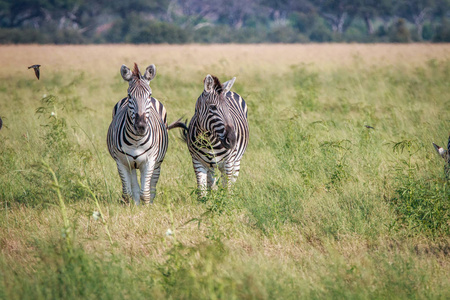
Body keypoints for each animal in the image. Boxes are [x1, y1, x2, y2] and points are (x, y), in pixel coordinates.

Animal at [107, 62, 169, 204]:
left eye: (149, 95)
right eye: (130, 96)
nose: (140, 127)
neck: (136, 140)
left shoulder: (149, 161)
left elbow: (145, 193)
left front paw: (147, 207)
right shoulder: (121, 162)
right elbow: (127, 193)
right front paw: (131, 206)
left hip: (158, 161)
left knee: (152, 182)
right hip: (132, 164)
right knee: (134, 185)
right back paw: (136, 203)